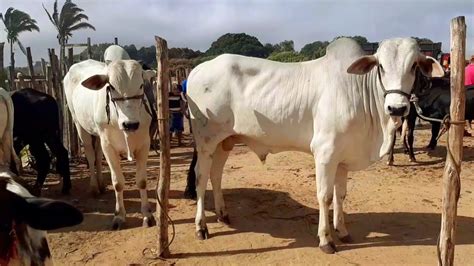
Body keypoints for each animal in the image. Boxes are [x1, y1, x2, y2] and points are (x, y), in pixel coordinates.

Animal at [63, 59, 154, 229]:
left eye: (141, 85)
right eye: (111, 86)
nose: (130, 124)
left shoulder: (144, 144)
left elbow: (142, 181)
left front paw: (147, 215)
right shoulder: (109, 147)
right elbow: (118, 183)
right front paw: (119, 216)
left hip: (99, 136)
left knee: (98, 156)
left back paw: (101, 184)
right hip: (80, 125)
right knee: (91, 155)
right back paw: (94, 187)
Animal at [186, 38, 444, 254]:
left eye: (414, 66)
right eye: (380, 66)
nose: (397, 108)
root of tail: (197, 70)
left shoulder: (343, 159)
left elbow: (341, 195)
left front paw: (342, 231)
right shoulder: (325, 154)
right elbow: (325, 196)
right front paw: (326, 240)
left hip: (224, 142)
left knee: (216, 175)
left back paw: (223, 214)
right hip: (206, 141)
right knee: (201, 177)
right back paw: (201, 227)